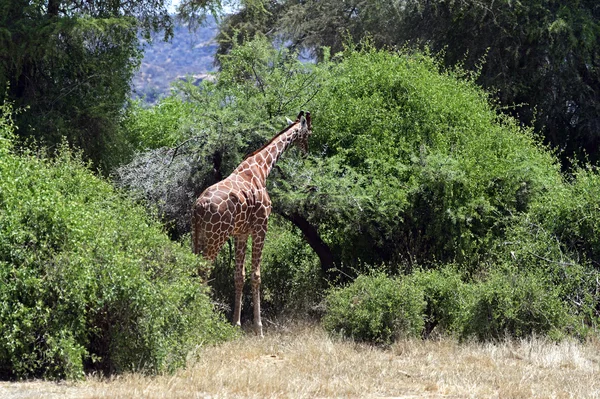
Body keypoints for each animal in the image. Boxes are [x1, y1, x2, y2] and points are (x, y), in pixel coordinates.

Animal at [192, 110, 314, 338]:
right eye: (309, 133)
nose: (306, 153)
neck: (261, 167)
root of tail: (198, 206)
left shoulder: (241, 233)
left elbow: (239, 275)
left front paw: (236, 323)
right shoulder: (261, 226)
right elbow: (256, 275)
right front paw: (259, 328)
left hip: (197, 236)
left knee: (194, 268)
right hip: (216, 237)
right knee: (204, 270)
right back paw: (201, 320)